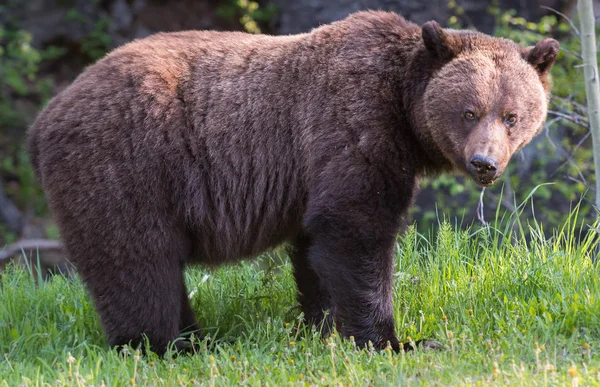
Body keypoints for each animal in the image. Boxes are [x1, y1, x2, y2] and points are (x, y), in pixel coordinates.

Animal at [28, 10, 560, 356]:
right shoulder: (353, 124)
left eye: (512, 115)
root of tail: (46, 117)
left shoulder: (312, 173)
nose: (484, 163)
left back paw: (195, 337)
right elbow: (356, 232)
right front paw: (395, 340)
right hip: (127, 165)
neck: (402, 109)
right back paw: (163, 346)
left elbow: (315, 250)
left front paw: (320, 326)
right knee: (136, 260)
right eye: (469, 111)